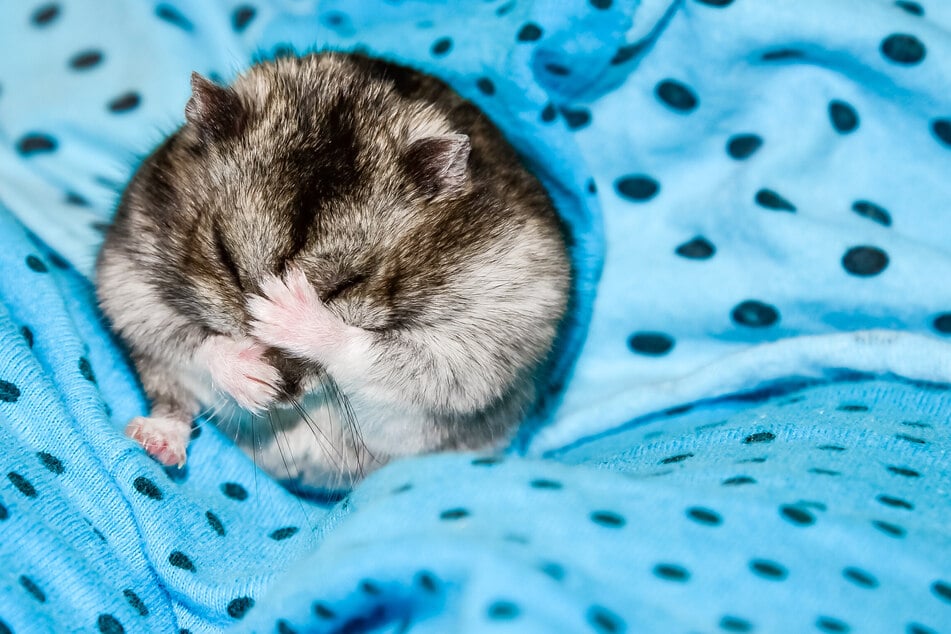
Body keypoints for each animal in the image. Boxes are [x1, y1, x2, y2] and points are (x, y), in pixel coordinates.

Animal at [96, 51, 570, 489]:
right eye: (224, 257)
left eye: (350, 283)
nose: (278, 397)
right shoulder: (131, 287)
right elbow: (194, 343)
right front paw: (252, 377)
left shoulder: (462, 363)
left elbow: (368, 357)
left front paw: (288, 312)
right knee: (173, 401)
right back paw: (153, 440)